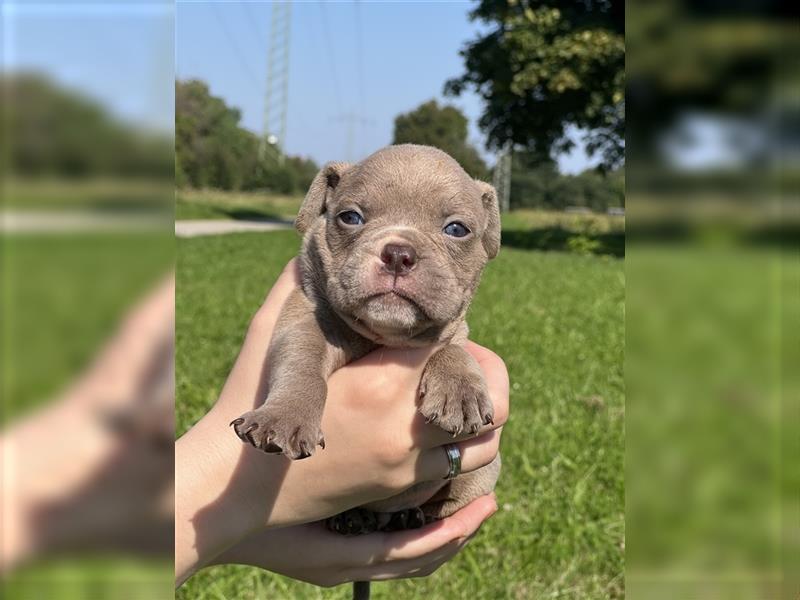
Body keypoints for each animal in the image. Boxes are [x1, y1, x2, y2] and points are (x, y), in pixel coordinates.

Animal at [230, 144, 500, 540]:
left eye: (456, 229)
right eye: (350, 217)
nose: (399, 254)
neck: (384, 336)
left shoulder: (455, 331)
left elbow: (454, 350)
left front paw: (460, 392)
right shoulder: (302, 319)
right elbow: (303, 364)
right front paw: (285, 416)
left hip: (483, 474)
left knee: (445, 502)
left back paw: (411, 516)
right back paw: (353, 517)